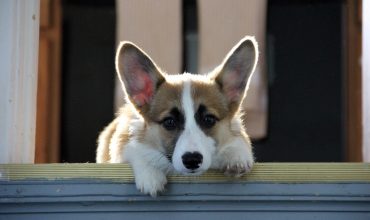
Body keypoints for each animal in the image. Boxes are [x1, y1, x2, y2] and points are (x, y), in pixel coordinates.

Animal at [96, 35, 258, 196]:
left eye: (209, 119)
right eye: (169, 122)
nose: (192, 160)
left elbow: (238, 141)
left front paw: (236, 156)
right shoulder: (122, 138)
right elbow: (133, 149)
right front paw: (151, 173)